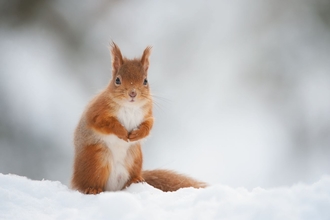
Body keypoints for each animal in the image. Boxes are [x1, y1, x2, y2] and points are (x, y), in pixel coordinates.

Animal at [71, 43, 206, 194]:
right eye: (117, 80)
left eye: (145, 81)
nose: (132, 93)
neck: (130, 107)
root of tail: (114, 188)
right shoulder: (97, 113)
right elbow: (104, 123)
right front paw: (122, 132)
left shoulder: (147, 114)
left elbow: (148, 125)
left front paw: (138, 134)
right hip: (96, 159)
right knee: (86, 183)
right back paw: (92, 188)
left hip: (135, 157)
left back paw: (136, 180)